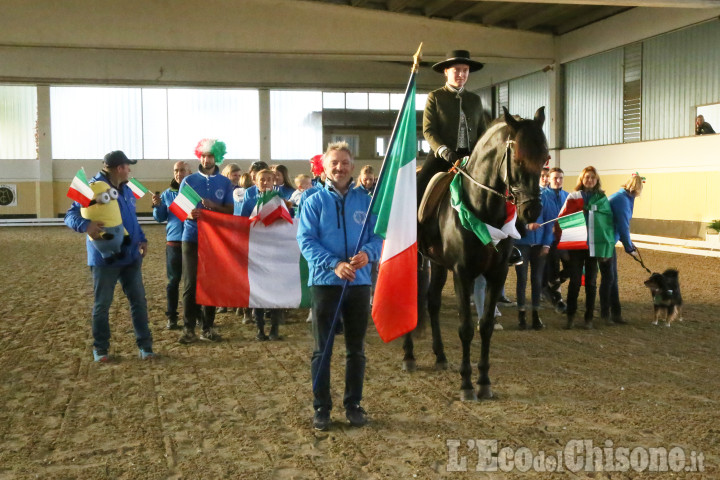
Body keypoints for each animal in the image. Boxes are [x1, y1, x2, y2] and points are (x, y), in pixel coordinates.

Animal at [404, 106, 544, 402]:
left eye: (545, 158)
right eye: (518, 157)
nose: (532, 211)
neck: (483, 206)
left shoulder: (496, 273)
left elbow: (486, 325)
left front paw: (484, 382)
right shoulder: (462, 273)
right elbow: (466, 328)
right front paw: (467, 385)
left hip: (437, 263)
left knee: (432, 302)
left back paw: (440, 356)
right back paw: (409, 356)